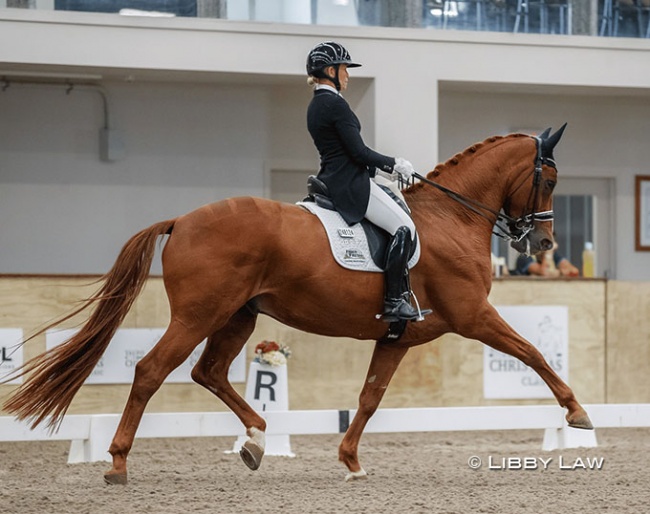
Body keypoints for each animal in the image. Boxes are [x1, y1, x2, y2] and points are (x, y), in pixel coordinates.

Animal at [3, 126, 592, 482]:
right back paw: (119, 463)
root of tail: (181, 220)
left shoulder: (398, 336)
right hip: (198, 315)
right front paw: (578, 413)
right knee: (151, 371)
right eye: (550, 178)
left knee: (208, 372)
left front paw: (350, 461)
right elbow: (534, 352)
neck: (451, 218)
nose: (543, 244)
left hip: (238, 317)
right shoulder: (473, 316)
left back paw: (257, 441)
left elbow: (370, 396)